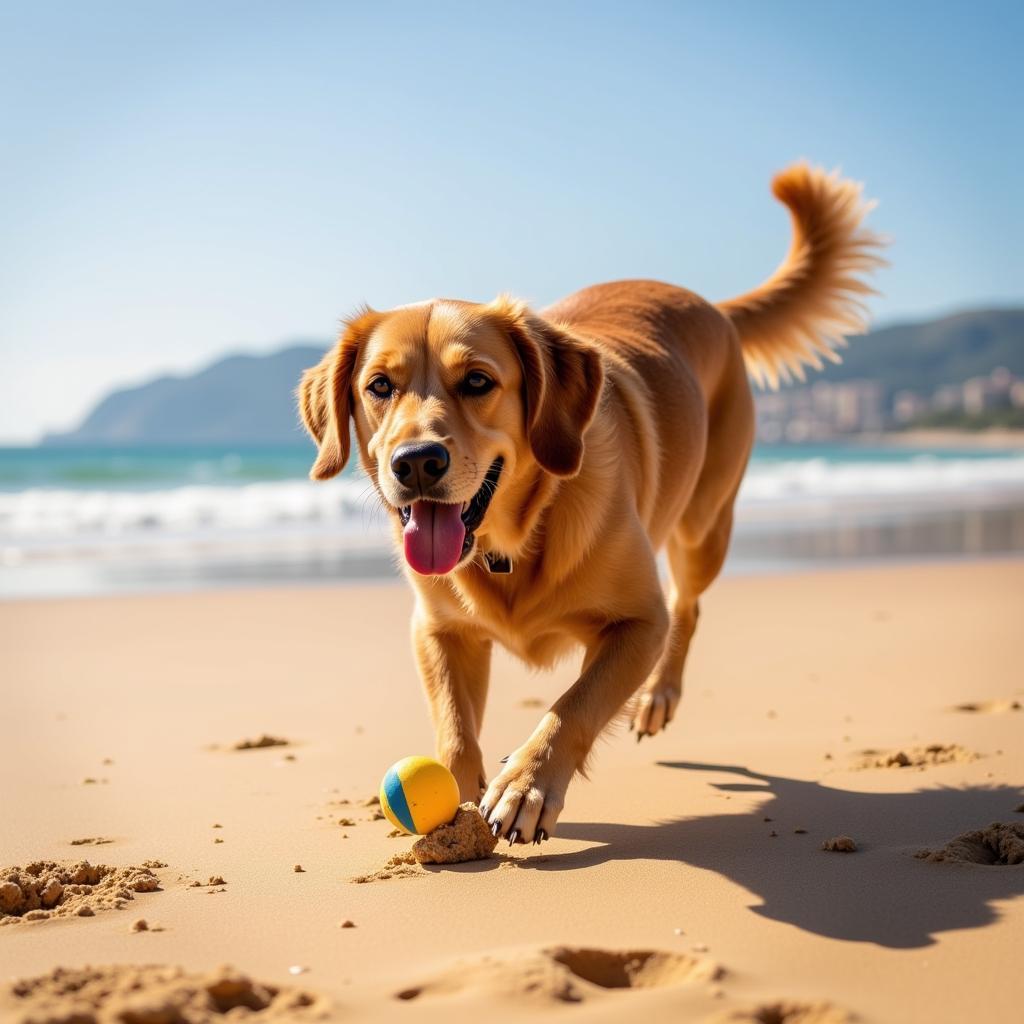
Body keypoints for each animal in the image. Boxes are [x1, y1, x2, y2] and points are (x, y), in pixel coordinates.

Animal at [296, 159, 880, 843]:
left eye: (478, 381)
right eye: (379, 386)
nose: (416, 462)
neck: (517, 539)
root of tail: (710, 304)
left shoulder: (638, 623)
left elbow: (573, 704)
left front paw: (525, 785)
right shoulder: (439, 630)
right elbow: (455, 727)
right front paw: (455, 809)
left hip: (704, 526)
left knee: (687, 606)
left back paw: (658, 695)